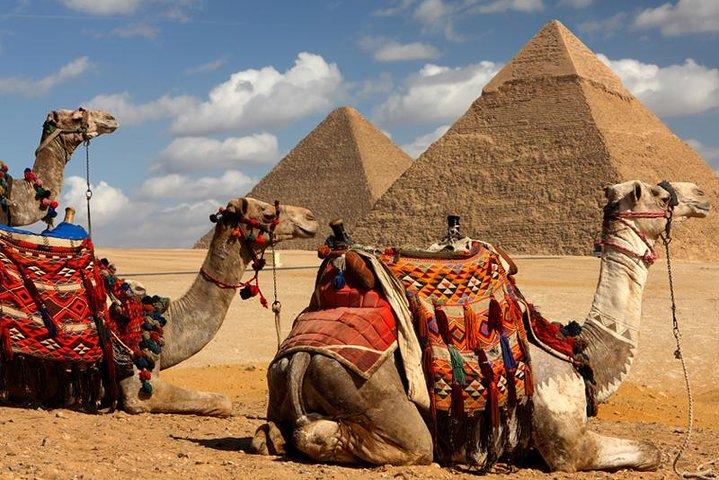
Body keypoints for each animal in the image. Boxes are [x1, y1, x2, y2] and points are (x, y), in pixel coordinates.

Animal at [254, 180, 710, 471]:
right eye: (656, 192)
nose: (702, 194)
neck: (578, 347)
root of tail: (299, 356)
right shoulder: (567, 445)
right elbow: (650, 451)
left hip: (281, 382)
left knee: (272, 432)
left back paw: (271, 436)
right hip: (371, 395)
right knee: (391, 443)